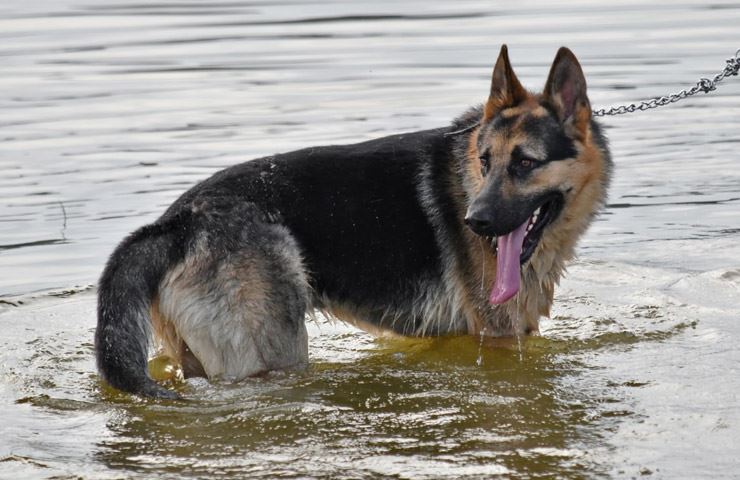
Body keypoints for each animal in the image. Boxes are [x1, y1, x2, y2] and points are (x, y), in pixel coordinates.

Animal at [94, 46, 612, 398]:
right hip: (272, 354)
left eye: (524, 163)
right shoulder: (498, 337)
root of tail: (178, 221)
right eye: (484, 162)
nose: (475, 221)